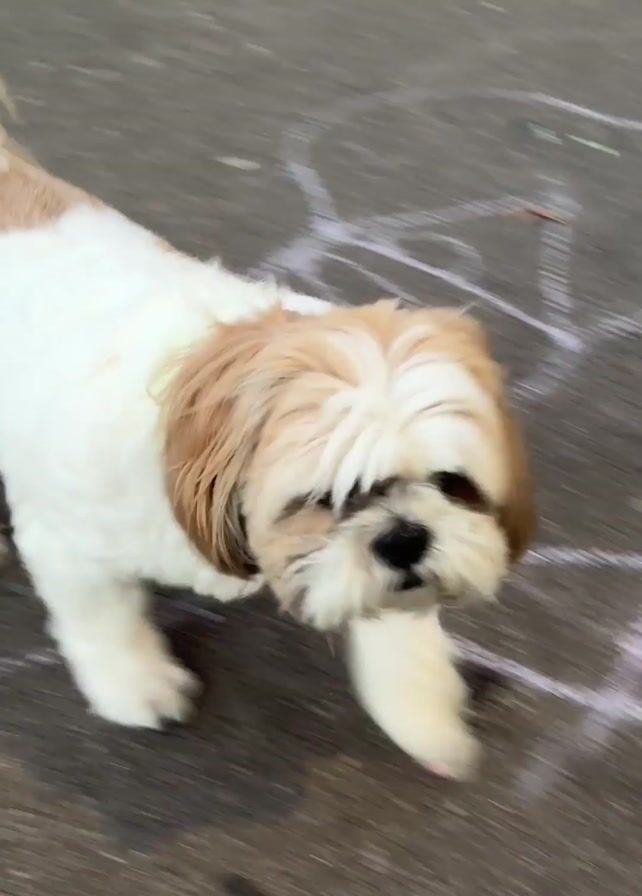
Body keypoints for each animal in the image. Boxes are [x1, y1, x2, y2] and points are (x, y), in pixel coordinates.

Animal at [0, 131, 535, 780]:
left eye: (452, 482)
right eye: (326, 498)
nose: (405, 538)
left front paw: (422, 706)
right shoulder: (69, 545)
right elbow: (102, 616)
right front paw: (136, 682)